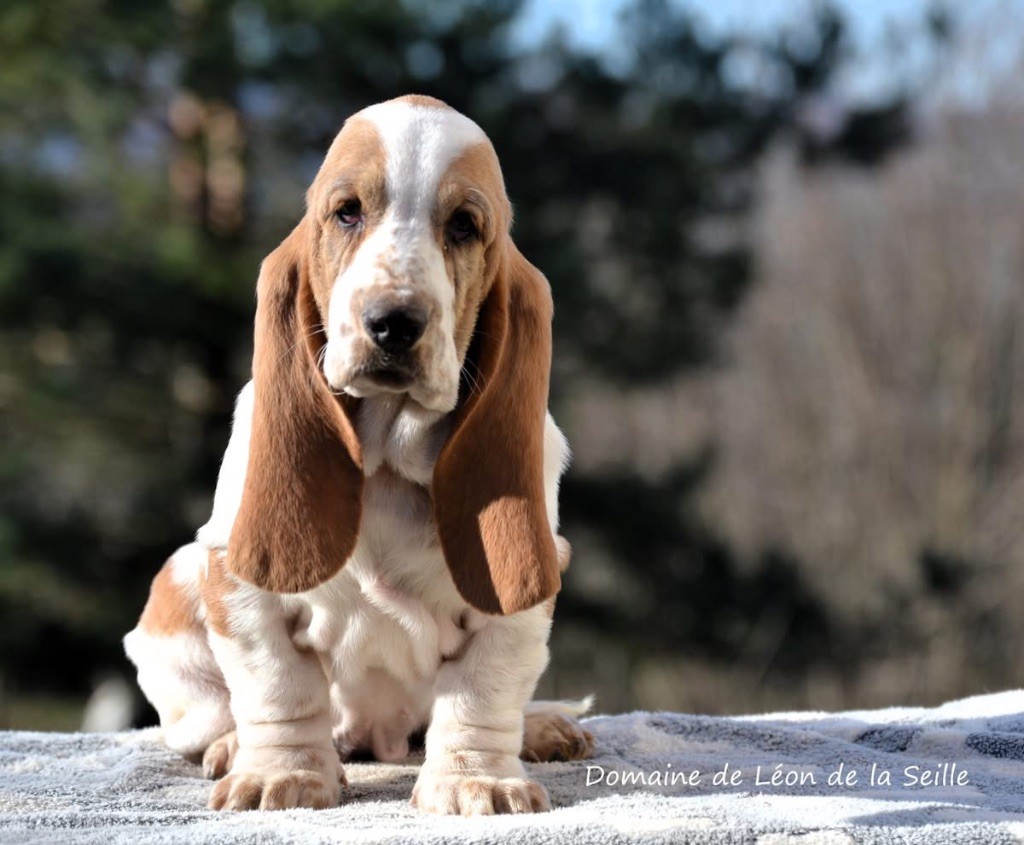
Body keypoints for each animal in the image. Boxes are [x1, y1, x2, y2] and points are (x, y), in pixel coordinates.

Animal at [123, 95, 598, 815]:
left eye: (464, 225)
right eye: (347, 211)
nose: (394, 322)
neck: (388, 457)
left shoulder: (521, 592)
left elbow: (482, 693)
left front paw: (476, 781)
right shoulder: (236, 576)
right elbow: (278, 685)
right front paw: (281, 775)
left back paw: (543, 726)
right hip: (174, 595)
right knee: (218, 710)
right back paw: (233, 746)